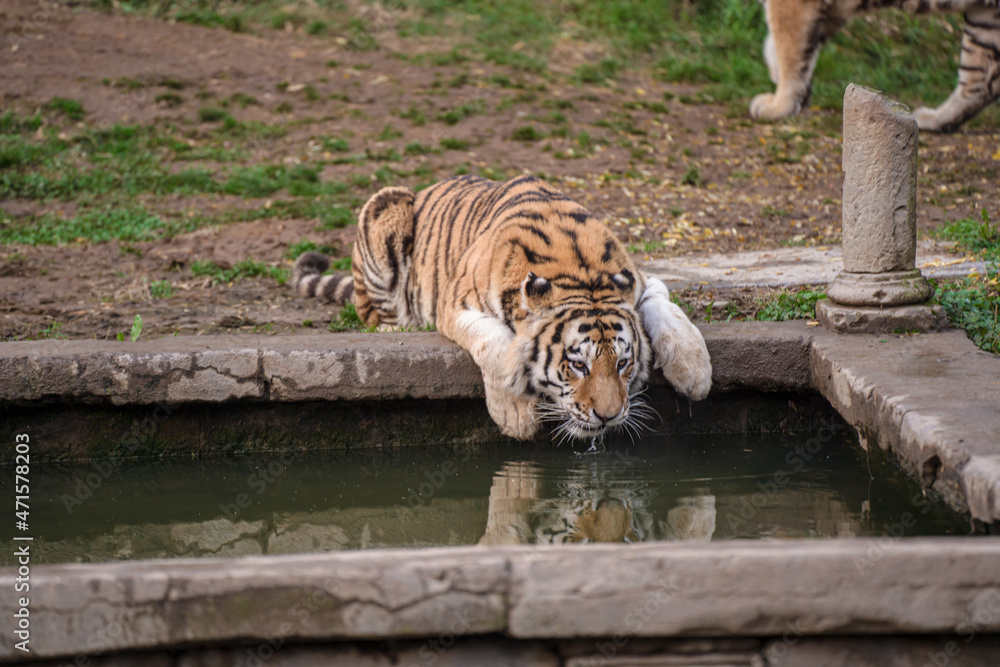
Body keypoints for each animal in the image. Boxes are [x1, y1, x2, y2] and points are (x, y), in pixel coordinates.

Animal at [293, 174, 712, 442]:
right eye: (578, 365)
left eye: (624, 363)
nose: (608, 418)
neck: (580, 273)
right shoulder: (455, 305)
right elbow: (494, 346)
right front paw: (516, 415)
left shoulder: (640, 279)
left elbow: (667, 307)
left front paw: (695, 371)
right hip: (386, 205)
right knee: (376, 314)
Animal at [750, 0, 1000, 132]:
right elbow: (794, 45)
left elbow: (789, 48)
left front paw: (778, 106)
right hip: (986, 21)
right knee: (982, 83)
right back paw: (933, 119)